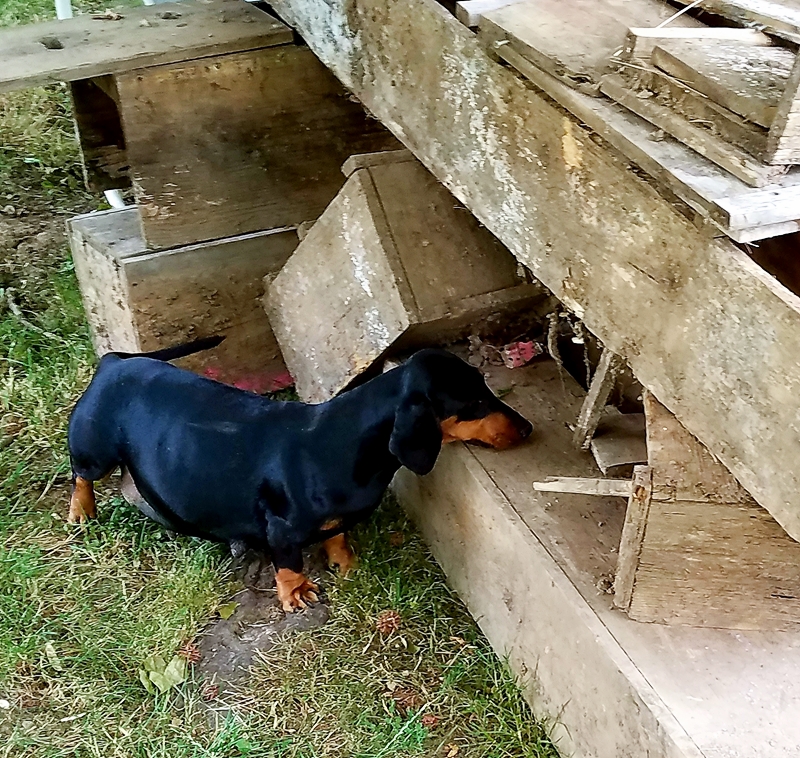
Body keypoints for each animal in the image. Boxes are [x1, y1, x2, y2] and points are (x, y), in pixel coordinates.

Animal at [67, 342, 532, 616]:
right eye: (473, 403)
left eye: (487, 388)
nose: (528, 429)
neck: (339, 441)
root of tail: (112, 364)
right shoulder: (282, 527)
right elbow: (288, 562)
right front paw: (295, 592)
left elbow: (337, 535)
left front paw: (345, 562)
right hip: (94, 450)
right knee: (81, 477)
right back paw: (82, 512)